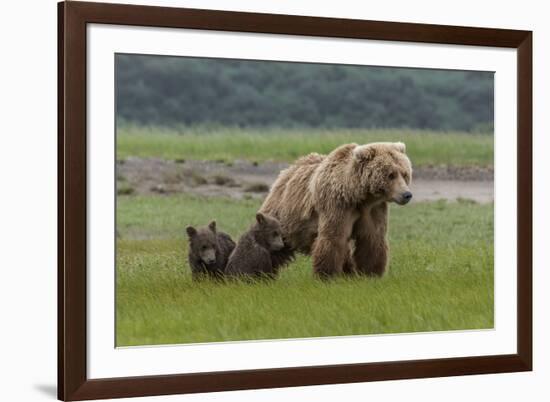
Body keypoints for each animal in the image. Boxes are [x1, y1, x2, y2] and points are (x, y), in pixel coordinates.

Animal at [262, 143, 414, 278]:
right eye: (391, 175)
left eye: (405, 174)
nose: (407, 194)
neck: (357, 195)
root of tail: (287, 170)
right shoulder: (337, 205)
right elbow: (333, 238)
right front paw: (326, 274)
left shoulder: (373, 209)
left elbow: (372, 239)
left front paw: (371, 273)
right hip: (284, 216)